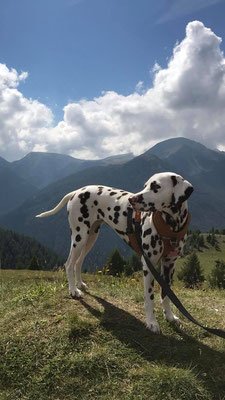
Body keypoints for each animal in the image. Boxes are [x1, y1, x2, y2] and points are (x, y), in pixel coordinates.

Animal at [35, 172, 193, 334]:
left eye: (156, 187)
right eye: (145, 186)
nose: (131, 199)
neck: (171, 225)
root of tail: (76, 191)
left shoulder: (169, 265)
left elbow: (166, 295)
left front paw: (170, 316)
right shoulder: (148, 265)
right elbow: (149, 297)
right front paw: (151, 322)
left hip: (90, 238)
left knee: (78, 262)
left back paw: (80, 284)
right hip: (79, 237)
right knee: (69, 264)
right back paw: (73, 290)